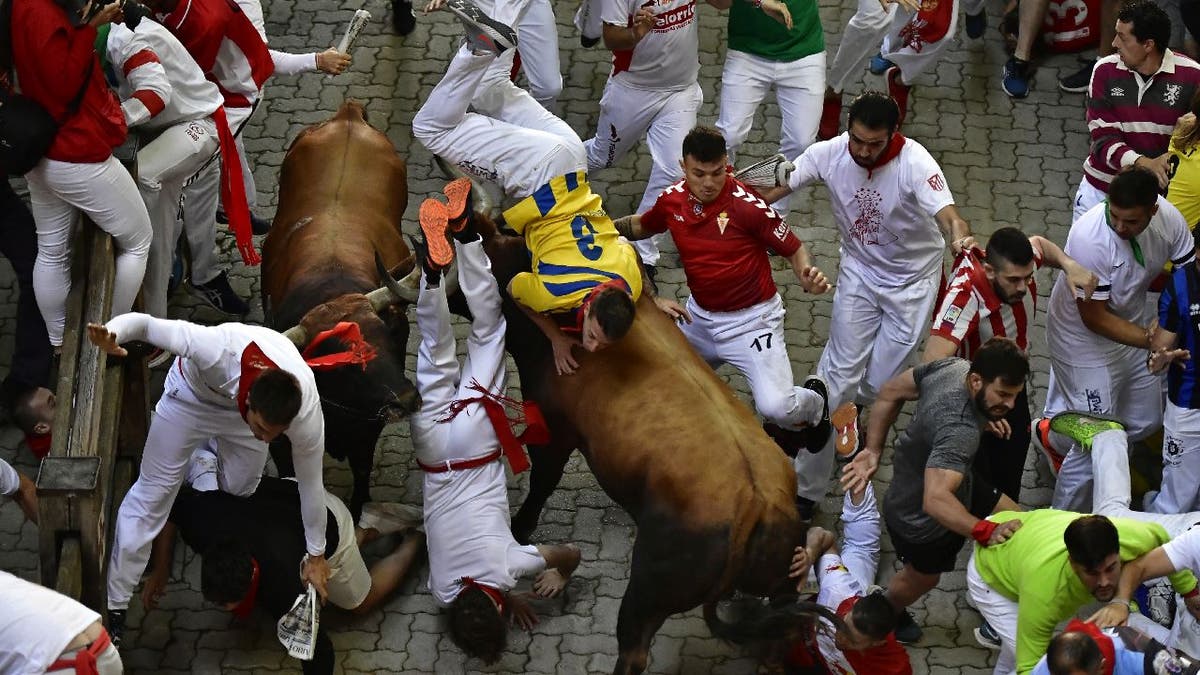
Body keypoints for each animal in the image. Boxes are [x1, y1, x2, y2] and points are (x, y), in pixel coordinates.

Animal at [262, 100, 422, 514]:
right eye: (342, 360)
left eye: (389, 339)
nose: (406, 399)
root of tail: (347, 115)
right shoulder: (281, 443)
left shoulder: (367, 430)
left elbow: (362, 475)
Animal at [463, 210, 801, 672]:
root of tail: (757, 502)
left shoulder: (553, 432)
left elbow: (541, 485)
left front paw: (518, 528)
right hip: (782, 580)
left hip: (646, 592)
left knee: (634, 649)